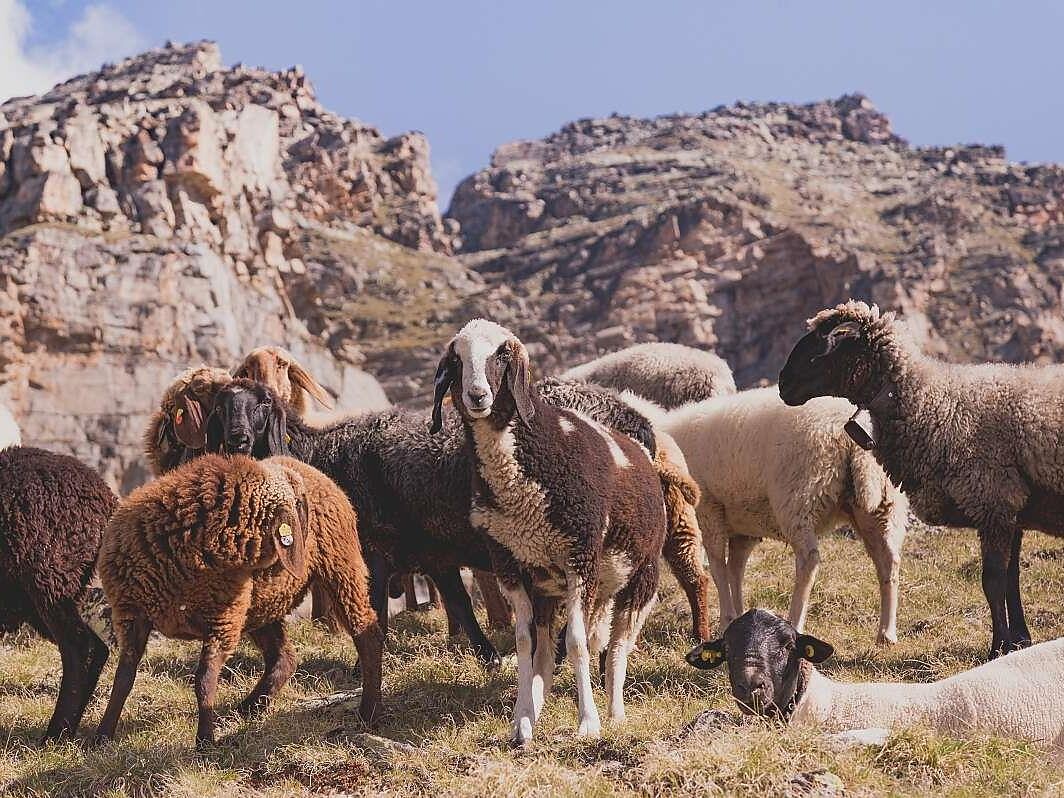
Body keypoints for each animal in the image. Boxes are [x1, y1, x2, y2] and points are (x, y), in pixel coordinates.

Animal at [0, 446, 116, 742]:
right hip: (33, 596)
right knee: (95, 648)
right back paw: (68, 730)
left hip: (48, 580)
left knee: (79, 647)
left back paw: (55, 734)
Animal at [95, 453, 383, 747]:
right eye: (299, 505)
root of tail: (312, 470)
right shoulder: (131, 615)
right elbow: (123, 677)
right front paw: (102, 736)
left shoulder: (222, 622)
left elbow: (204, 681)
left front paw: (205, 741)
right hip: (261, 604)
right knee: (284, 657)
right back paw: (250, 706)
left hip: (340, 569)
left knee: (367, 633)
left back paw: (369, 713)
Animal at [433, 319, 668, 745]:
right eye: (456, 359)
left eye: (502, 354)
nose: (477, 396)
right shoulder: (510, 563)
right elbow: (526, 642)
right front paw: (521, 721)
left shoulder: (580, 558)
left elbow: (575, 643)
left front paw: (588, 723)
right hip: (560, 585)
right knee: (554, 646)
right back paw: (534, 710)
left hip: (639, 576)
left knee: (618, 645)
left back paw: (615, 712)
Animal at [658, 386, 908, 643]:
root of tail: (854, 442)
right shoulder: (743, 529)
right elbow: (735, 570)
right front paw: (739, 617)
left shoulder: (709, 512)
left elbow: (719, 569)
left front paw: (727, 619)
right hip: (882, 506)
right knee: (888, 560)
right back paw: (887, 632)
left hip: (799, 498)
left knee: (809, 560)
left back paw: (795, 622)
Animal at [778, 300, 1064, 659]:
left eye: (819, 352)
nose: (782, 384)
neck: (933, 405)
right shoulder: (1010, 508)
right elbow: (1012, 578)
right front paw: (1020, 641)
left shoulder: (992, 500)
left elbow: (993, 580)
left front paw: (998, 646)